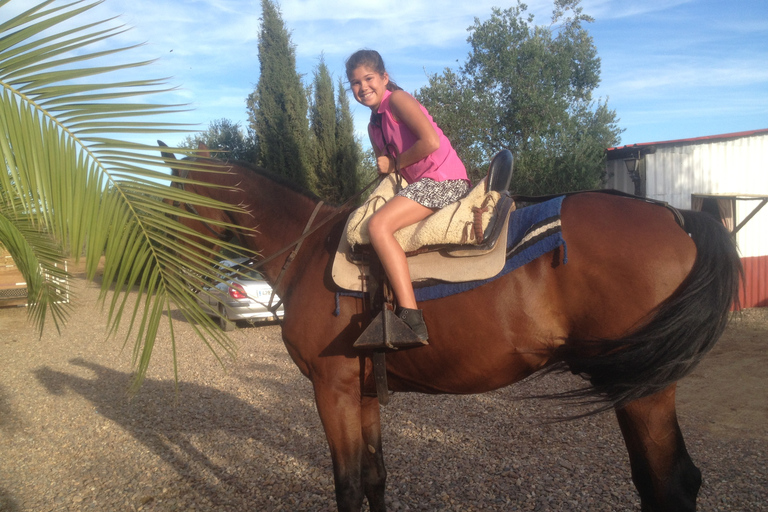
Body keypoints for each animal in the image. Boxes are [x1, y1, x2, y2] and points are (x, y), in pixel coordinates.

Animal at [164, 150, 744, 510]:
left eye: (178, 202)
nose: (173, 273)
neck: (309, 254)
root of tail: (674, 215)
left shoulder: (332, 390)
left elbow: (347, 486)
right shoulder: (364, 392)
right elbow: (375, 477)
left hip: (644, 390)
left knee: (671, 484)